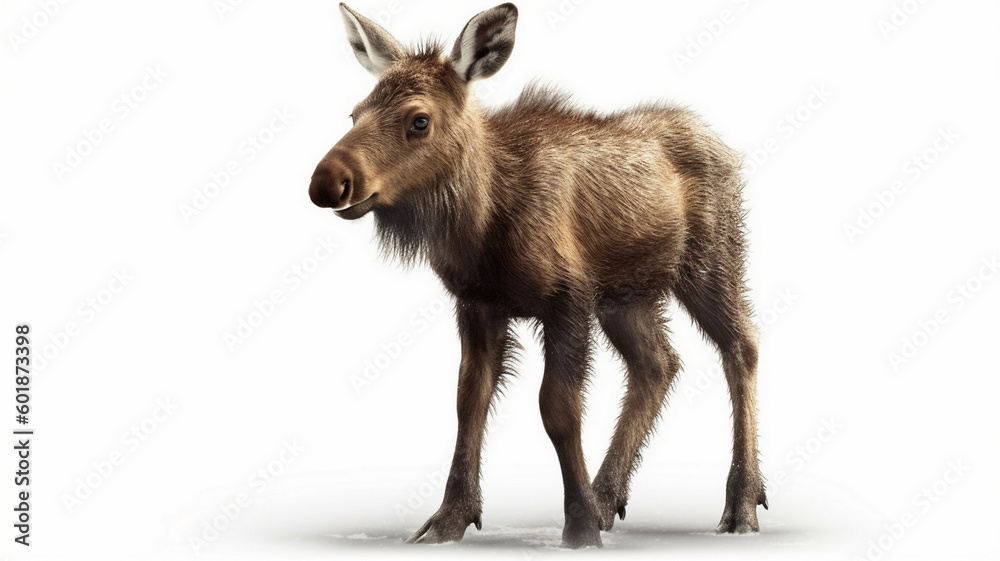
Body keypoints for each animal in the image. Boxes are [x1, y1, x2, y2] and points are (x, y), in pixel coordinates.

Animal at [308, 3, 766, 549]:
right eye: (355, 113)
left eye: (419, 120)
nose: (326, 182)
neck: (482, 225)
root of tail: (723, 146)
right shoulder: (478, 303)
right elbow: (468, 402)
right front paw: (446, 521)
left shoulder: (567, 298)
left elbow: (558, 409)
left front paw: (580, 526)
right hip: (626, 295)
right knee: (659, 363)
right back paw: (608, 497)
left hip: (709, 262)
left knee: (741, 346)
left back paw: (740, 504)